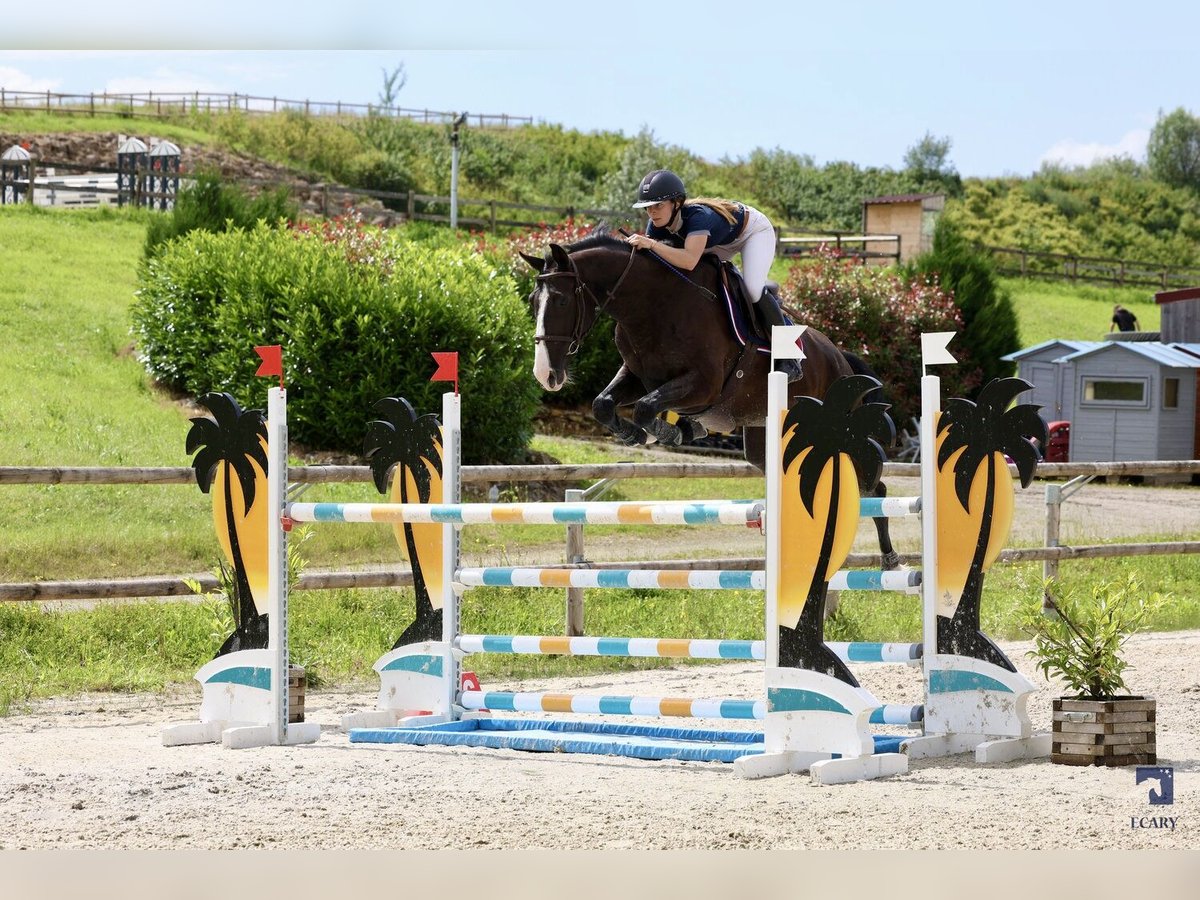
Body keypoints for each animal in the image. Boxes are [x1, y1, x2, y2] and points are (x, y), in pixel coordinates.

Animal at [520, 232, 902, 571]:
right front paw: (639, 433)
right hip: (765, 440)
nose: (545, 374)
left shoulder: (703, 385)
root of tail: (839, 356)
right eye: (532, 301)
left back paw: (890, 559)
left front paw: (667, 432)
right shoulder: (637, 375)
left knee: (874, 487)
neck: (652, 305)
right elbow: (603, 403)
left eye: (561, 301)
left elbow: (646, 407)